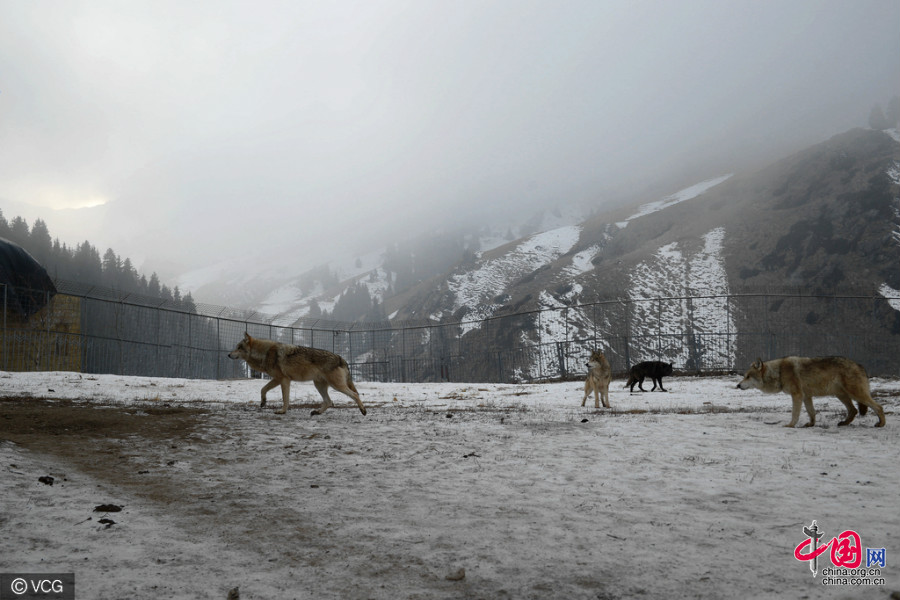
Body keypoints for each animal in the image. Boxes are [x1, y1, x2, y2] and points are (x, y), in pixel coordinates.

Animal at [227, 332, 368, 418]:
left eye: (239, 347)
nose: (228, 355)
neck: (265, 353)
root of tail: (341, 358)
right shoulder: (277, 379)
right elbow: (263, 389)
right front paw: (263, 402)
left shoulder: (284, 380)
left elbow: (285, 399)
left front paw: (282, 411)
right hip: (319, 385)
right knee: (329, 401)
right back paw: (317, 412)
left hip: (336, 386)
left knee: (355, 395)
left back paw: (363, 411)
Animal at [740, 356, 884, 426]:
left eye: (748, 376)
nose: (738, 385)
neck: (779, 372)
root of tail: (860, 366)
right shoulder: (806, 396)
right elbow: (812, 412)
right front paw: (810, 424)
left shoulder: (797, 395)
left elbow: (795, 414)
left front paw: (790, 425)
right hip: (841, 395)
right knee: (853, 410)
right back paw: (843, 423)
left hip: (855, 394)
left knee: (878, 407)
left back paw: (881, 424)